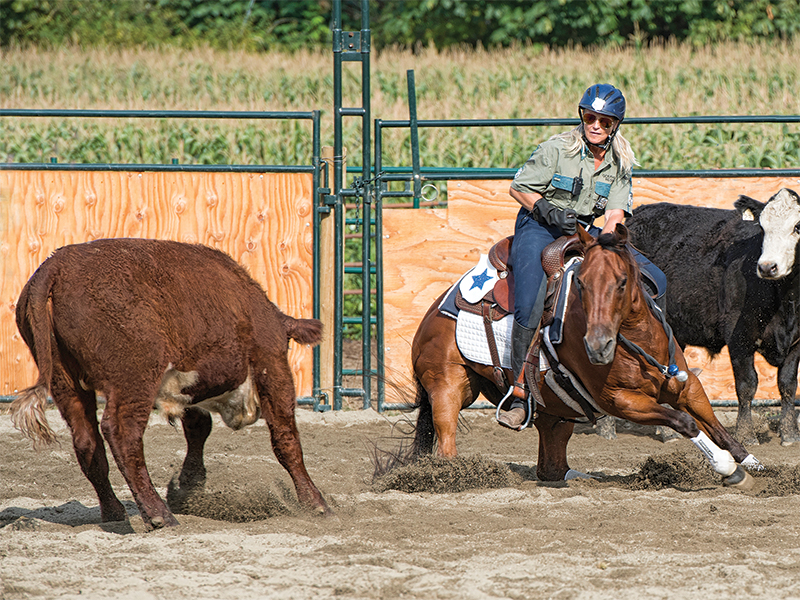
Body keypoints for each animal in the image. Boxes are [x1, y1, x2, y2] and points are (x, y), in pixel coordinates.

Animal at [409, 224, 759, 486]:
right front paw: (727, 467)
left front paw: (751, 462)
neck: (636, 342)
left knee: (551, 468)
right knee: (446, 447)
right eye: (582, 283)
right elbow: (684, 422)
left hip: (554, 415)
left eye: (622, 282)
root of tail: (432, 314)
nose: (597, 345)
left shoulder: (685, 387)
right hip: (448, 386)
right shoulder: (620, 401)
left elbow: (715, 425)